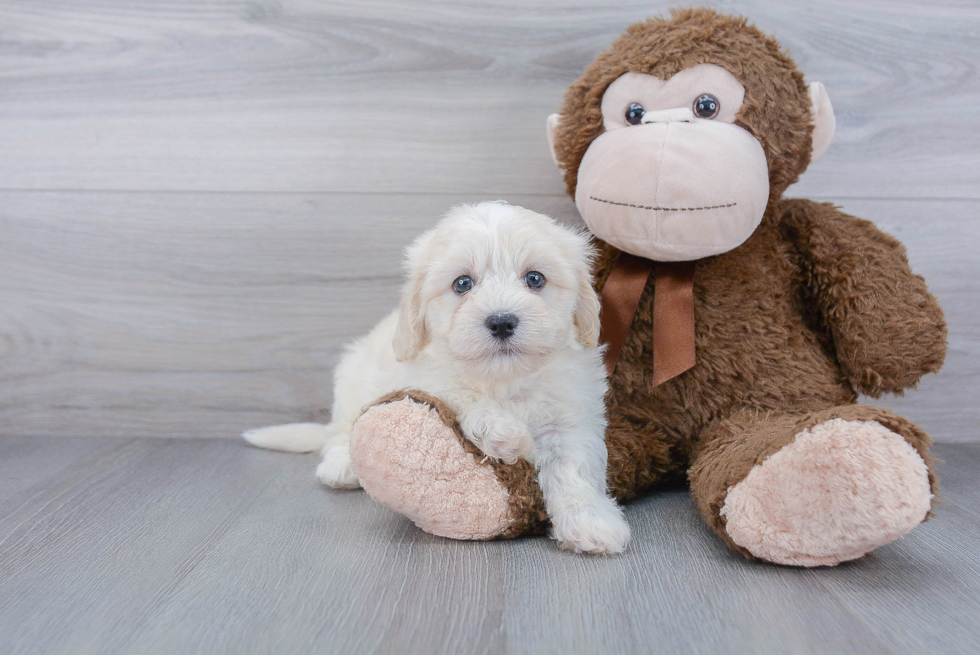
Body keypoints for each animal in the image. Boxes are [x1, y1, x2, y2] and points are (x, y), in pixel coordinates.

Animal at [244, 202, 628, 556]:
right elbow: (460, 392)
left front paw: (591, 522)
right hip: (352, 377)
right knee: (341, 431)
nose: (502, 321)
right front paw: (504, 433)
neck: (504, 381)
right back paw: (340, 466)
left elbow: (574, 470)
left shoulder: (571, 419)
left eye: (535, 279)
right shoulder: (422, 376)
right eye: (462, 283)